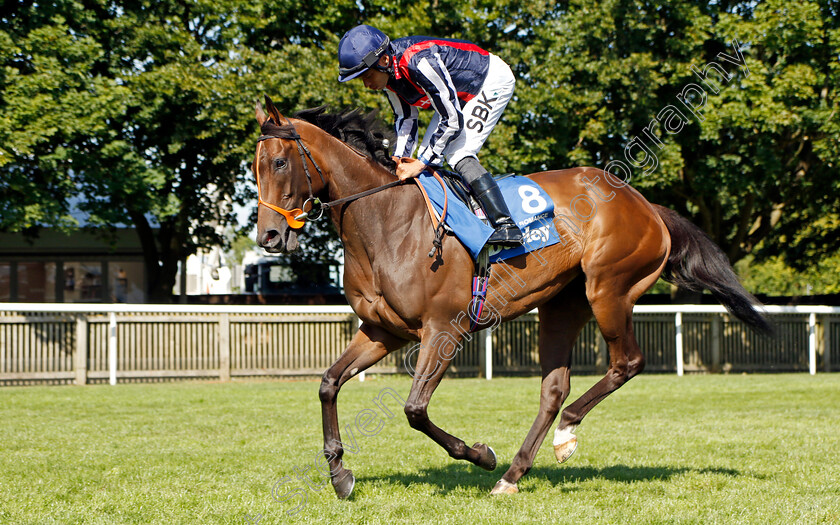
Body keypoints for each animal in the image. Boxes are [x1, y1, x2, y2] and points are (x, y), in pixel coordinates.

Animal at [253, 97, 772, 496]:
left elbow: (415, 410)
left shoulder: (444, 329)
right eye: (254, 168)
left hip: (609, 289)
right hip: (562, 304)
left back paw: (564, 434)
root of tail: (645, 204)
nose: (269, 236)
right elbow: (328, 383)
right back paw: (514, 473)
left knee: (626, 363)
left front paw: (480, 454)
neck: (388, 221)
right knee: (554, 388)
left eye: (279, 162)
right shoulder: (383, 330)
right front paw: (340, 473)